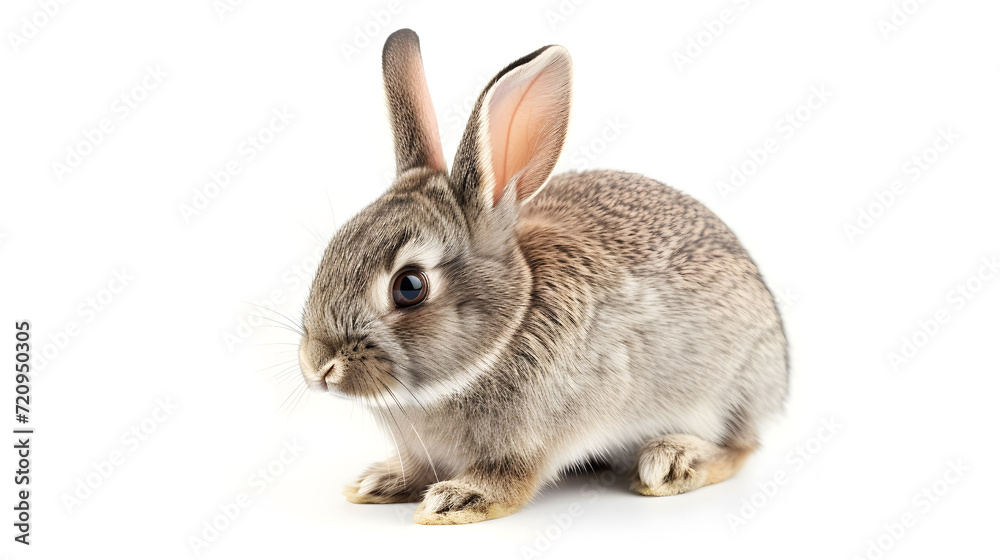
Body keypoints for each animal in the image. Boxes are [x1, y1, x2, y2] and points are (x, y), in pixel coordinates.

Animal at [297, 28, 788, 525]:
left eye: (410, 286)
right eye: (334, 248)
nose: (317, 366)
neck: (504, 335)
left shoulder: (530, 443)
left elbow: (511, 481)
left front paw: (457, 500)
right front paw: (378, 482)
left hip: (729, 392)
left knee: (741, 447)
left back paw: (672, 462)